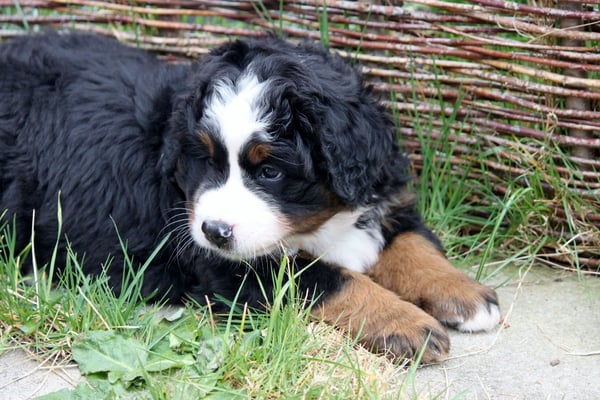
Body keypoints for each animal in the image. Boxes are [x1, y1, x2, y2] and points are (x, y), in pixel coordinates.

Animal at [0, 32, 500, 363]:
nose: (215, 232)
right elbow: (332, 280)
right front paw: (408, 324)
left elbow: (415, 246)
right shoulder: (234, 269)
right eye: (205, 160)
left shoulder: (383, 200)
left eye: (271, 171)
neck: (320, 221)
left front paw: (465, 293)